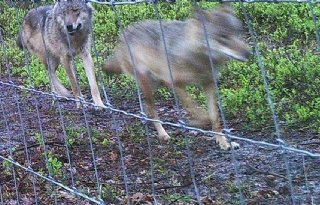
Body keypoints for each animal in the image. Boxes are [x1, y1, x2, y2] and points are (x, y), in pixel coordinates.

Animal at [104, 4, 251, 149]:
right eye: (223, 37)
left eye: (238, 32)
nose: (248, 53)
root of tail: (123, 35)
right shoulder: (173, 83)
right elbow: (198, 111)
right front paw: (196, 122)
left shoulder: (209, 83)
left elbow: (214, 117)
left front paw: (224, 142)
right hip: (149, 85)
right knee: (152, 110)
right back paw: (163, 134)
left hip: (156, 85)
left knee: (147, 108)